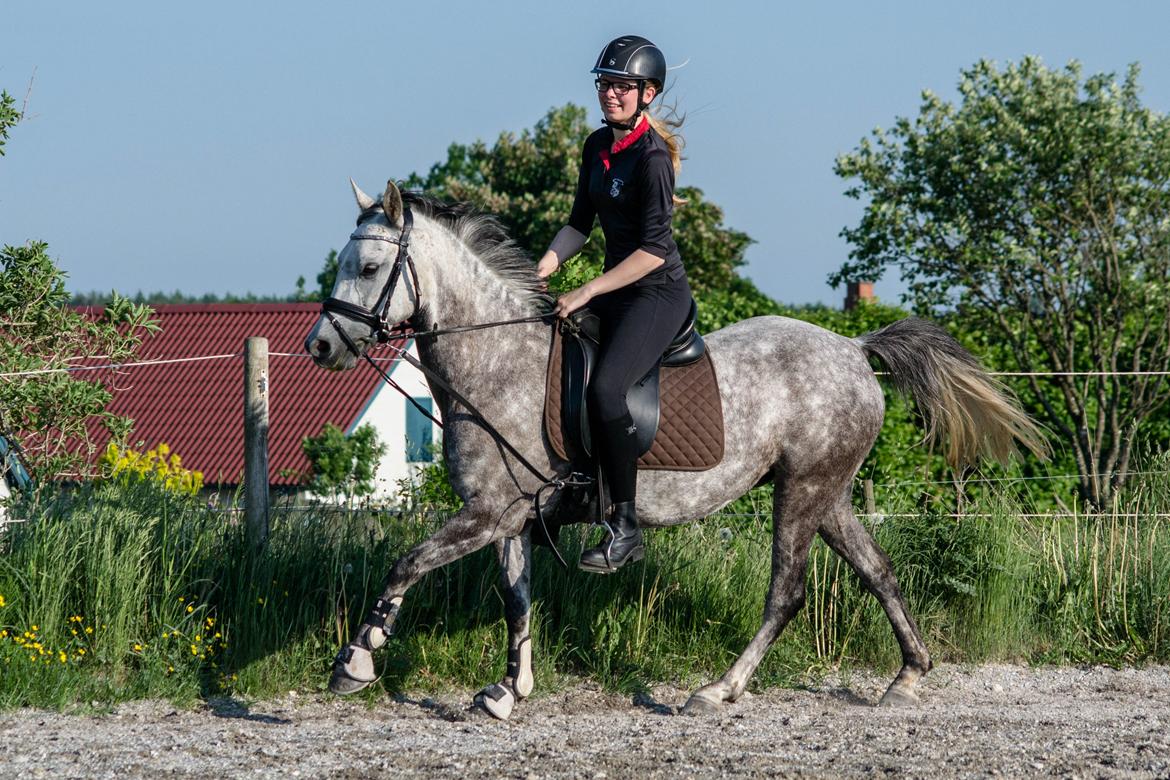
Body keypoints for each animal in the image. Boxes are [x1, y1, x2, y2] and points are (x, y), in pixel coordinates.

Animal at [301, 180, 1043, 725]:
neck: (497, 360)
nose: (321, 346)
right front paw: (509, 690)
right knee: (878, 571)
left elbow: (406, 563)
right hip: (825, 491)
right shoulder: (509, 516)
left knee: (786, 592)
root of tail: (854, 349)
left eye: (370, 266)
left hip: (801, 492)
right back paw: (908, 676)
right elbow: (516, 601)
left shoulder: (487, 513)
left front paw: (355, 661)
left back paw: (719, 690)